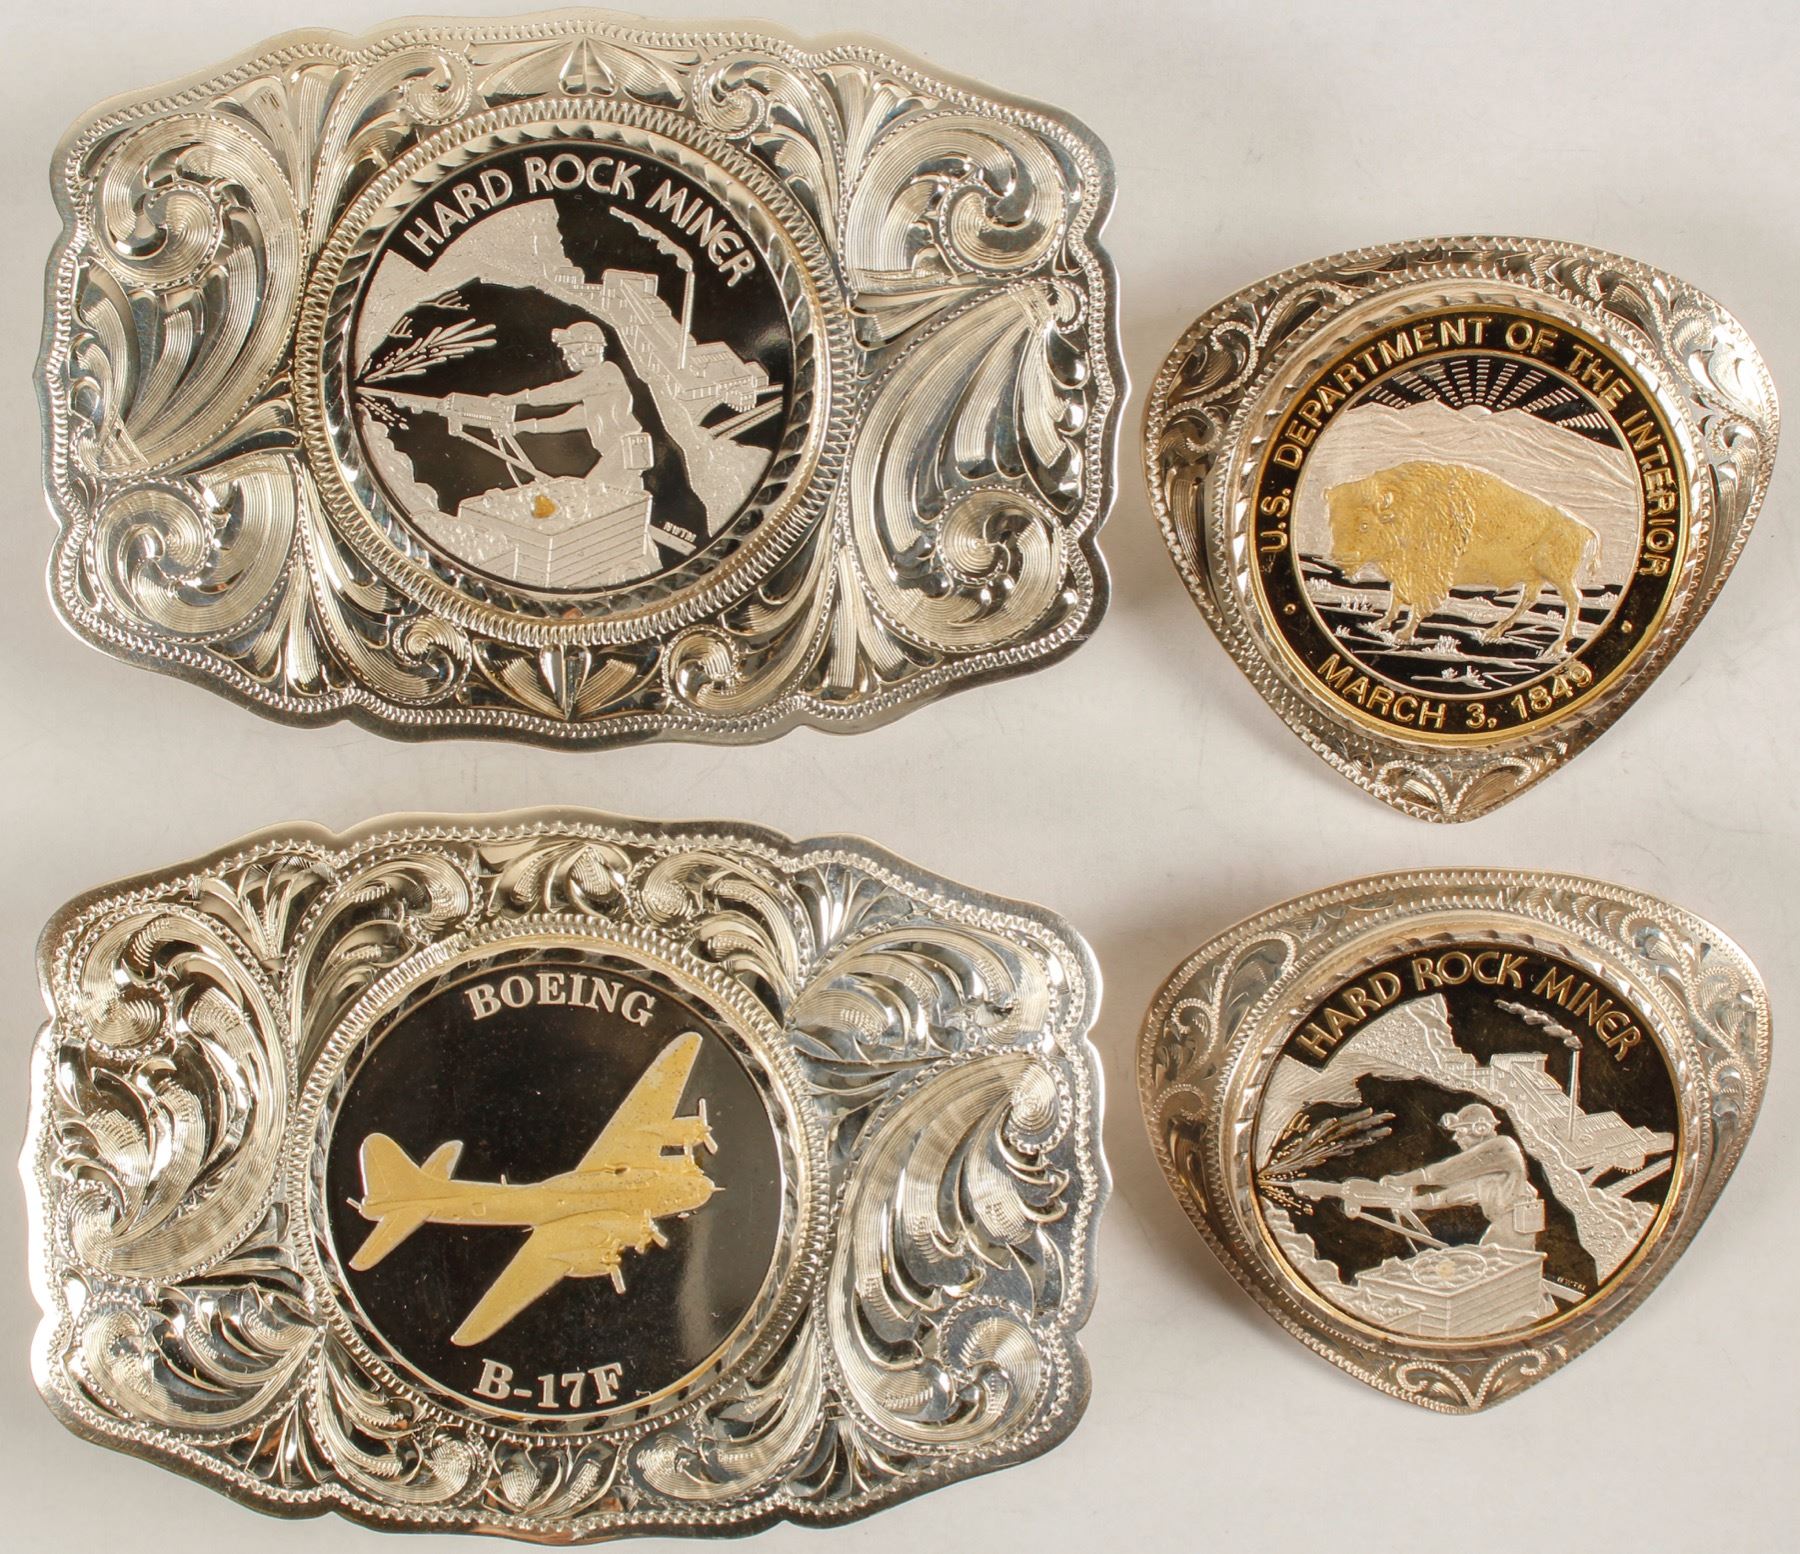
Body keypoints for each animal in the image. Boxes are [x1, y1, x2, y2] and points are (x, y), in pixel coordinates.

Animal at [1322, 461, 1600, 653]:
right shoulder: (1401, 571)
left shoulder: (1428, 572)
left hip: (1558, 575)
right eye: (1333, 521)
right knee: (1529, 600)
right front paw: (1380, 624)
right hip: (1536, 577)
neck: (1404, 508)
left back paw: (1557, 645)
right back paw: (1492, 633)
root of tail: (1583, 528)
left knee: (1573, 600)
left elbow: (1418, 603)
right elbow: (1396, 597)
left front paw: (1403, 634)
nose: (1342, 556)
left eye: (1364, 525)